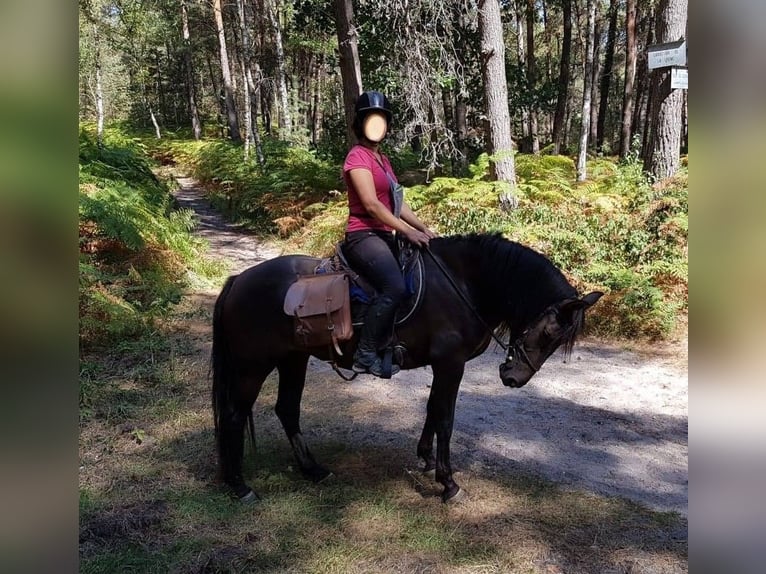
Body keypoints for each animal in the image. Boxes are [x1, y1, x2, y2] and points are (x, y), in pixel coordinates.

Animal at [213, 234, 604, 504]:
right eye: (550, 332)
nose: (514, 378)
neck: (463, 285)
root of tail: (238, 280)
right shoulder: (450, 364)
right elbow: (445, 418)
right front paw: (448, 483)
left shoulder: (442, 366)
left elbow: (431, 410)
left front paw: (426, 460)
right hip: (253, 366)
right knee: (233, 415)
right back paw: (239, 486)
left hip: (293, 359)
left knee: (287, 410)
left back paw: (313, 470)